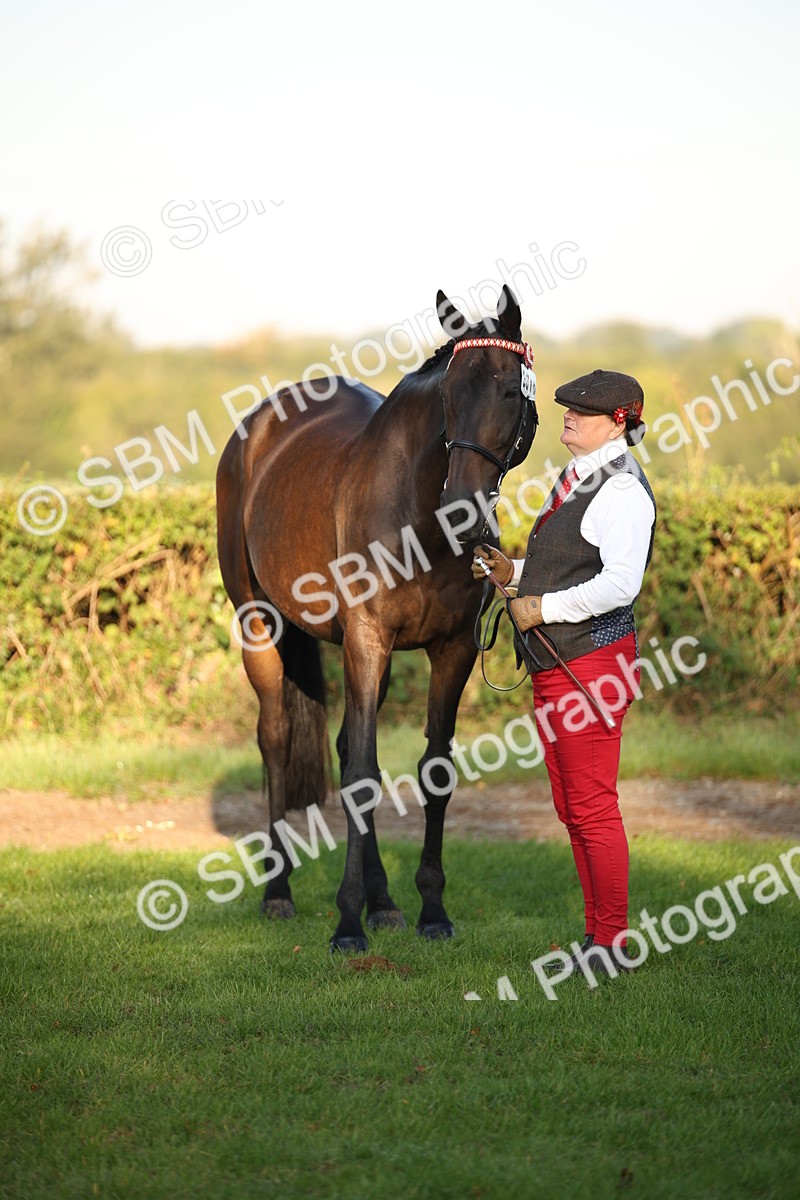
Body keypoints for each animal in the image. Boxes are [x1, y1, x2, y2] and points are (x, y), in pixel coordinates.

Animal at [216, 285, 538, 951]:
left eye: (508, 391)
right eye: (447, 396)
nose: (463, 509)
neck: (417, 518)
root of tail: (255, 429)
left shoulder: (450, 650)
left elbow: (431, 770)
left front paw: (428, 910)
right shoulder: (367, 639)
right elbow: (363, 775)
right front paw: (346, 922)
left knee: (342, 745)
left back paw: (383, 901)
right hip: (259, 624)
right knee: (276, 737)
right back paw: (279, 891)